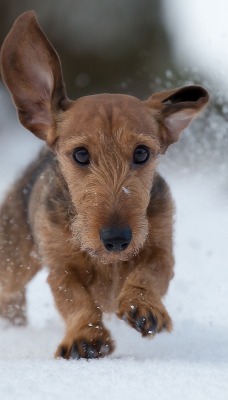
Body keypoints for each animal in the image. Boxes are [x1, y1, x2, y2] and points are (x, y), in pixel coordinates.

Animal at [0, 11, 208, 360]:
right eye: (81, 155)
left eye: (142, 153)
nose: (116, 239)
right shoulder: (61, 267)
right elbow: (74, 298)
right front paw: (86, 336)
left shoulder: (161, 247)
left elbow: (151, 272)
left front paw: (143, 305)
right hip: (13, 260)